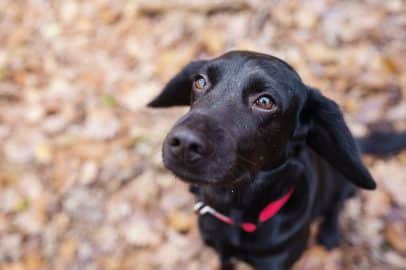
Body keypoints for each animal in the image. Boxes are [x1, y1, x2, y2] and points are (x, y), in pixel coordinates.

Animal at [147, 51, 402, 268]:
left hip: (343, 185)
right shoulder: (221, 251)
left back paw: (329, 233)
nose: (183, 143)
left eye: (265, 102)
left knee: (334, 208)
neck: (235, 212)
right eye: (200, 82)